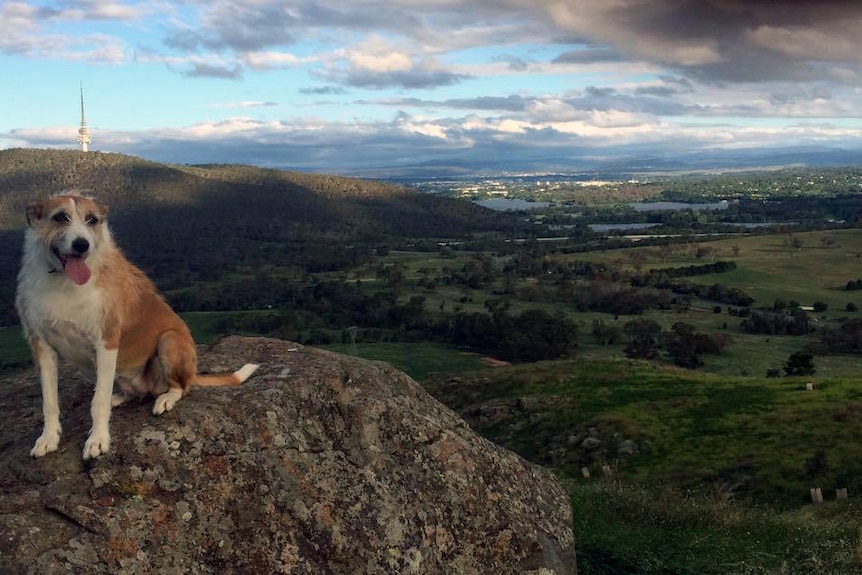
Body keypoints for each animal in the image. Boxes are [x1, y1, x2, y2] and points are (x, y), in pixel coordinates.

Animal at [15, 196, 258, 462]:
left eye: (92, 220)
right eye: (60, 217)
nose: (82, 245)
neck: (63, 281)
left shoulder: (106, 341)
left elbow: (98, 402)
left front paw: (98, 439)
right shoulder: (42, 346)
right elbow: (50, 402)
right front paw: (48, 438)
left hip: (169, 341)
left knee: (181, 387)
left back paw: (165, 399)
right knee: (127, 390)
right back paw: (120, 396)